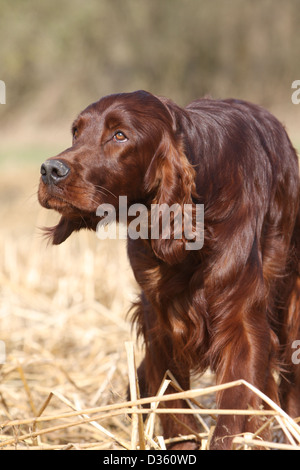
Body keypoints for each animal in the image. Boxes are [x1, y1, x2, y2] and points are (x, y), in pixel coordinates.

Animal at [38, 90, 300, 450]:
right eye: (75, 132)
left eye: (120, 135)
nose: (50, 169)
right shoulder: (160, 324)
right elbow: (174, 412)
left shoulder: (243, 326)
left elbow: (232, 413)